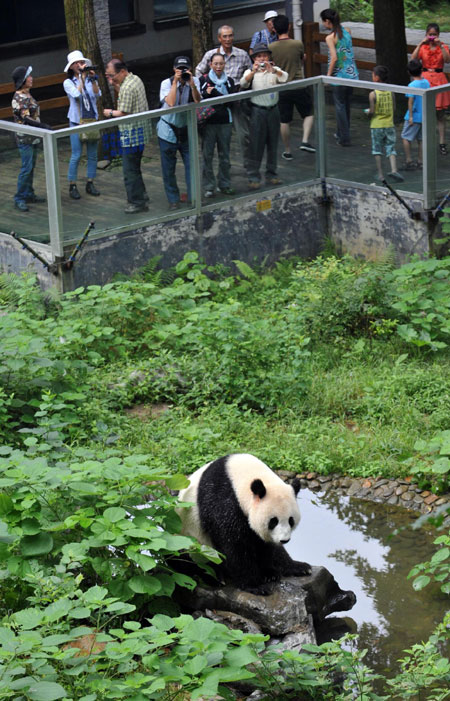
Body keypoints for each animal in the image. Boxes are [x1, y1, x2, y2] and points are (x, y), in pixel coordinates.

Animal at [177, 453, 311, 593]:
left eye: (291, 520)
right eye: (273, 521)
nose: (284, 540)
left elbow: (264, 544)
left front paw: (269, 573)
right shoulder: (222, 501)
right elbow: (235, 546)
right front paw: (255, 585)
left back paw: (299, 567)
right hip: (190, 539)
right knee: (192, 562)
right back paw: (216, 578)